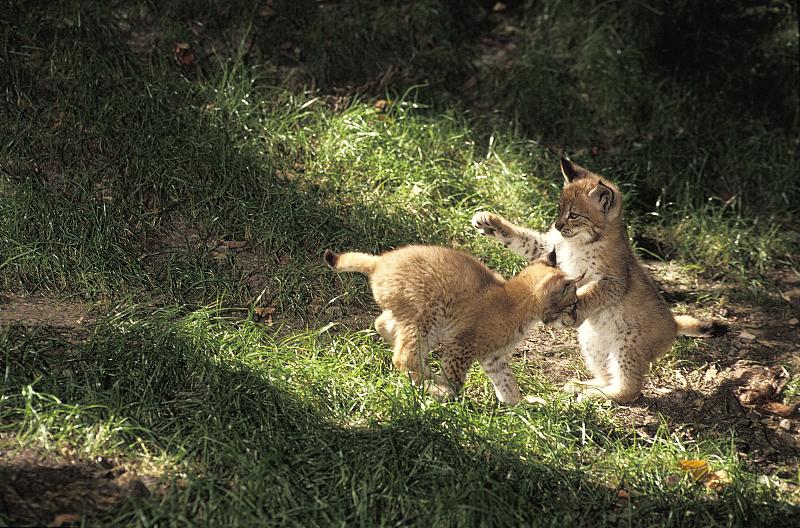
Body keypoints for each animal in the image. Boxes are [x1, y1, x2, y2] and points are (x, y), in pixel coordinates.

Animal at [322, 244, 580, 404]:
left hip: (414, 317)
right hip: (428, 314)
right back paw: (430, 383)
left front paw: (520, 404)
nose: (575, 318)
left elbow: (507, 382)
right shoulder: (461, 347)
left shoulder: (493, 357)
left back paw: (422, 373)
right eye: (572, 303)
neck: (519, 299)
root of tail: (380, 262)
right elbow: (455, 379)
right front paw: (448, 396)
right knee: (404, 357)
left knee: (382, 325)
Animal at [468, 159, 724, 402]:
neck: (581, 241)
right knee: (608, 375)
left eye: (573, 215)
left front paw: (571, 309)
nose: (558, 226)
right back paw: (584, 386)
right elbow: (525, 240)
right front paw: (491, 223)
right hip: (592, 339)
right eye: (559, 210)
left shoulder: (614, 281)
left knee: (631, 390)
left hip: (628, 344)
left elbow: (591, 292)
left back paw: (596, 395)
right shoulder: (552, 249)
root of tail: (673, 323)